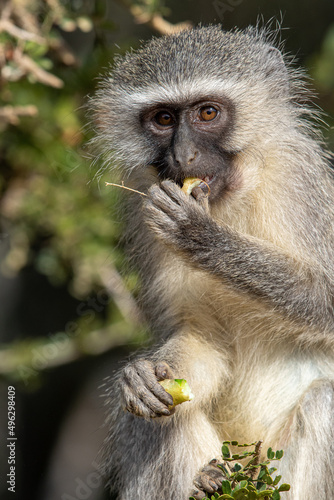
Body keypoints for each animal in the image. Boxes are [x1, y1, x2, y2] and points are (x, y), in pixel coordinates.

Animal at [88, 25, 334, 500]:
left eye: (207, 112)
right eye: (164, 119)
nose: (183, 157)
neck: (230, 197)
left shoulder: (301, 183)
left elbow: (328, 300)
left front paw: (202, 237)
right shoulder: (146, 206)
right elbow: (204, 335)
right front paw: (141, 374)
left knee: (324, 401)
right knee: (148, 422)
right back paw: (204, 481)